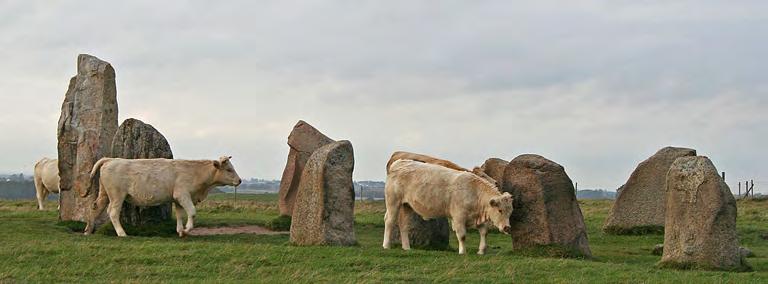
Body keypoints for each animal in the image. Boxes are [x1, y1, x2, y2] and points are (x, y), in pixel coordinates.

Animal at [83, 156, 242, 236]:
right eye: (229, 169)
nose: (240, 180)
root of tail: (110, 159)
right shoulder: (183, 194)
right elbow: (192, 212)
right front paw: (187, 229)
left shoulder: (177, 199)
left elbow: (179, 214)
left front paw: (180, 231)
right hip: (117, 196)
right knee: (113, 212)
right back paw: (122, 233)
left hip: (105, 194)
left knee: (94, 208)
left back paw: (88, 231)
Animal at [384, 160, 516, 255]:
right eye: (500, 210)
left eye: (510, 212)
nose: (507, 228)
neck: (474, 192)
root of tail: (399, 162)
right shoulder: (458, 217)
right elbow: (462, 235)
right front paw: (462, 252)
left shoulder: (478, 217)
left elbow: (484, 232)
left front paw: (481, 251)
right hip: (393, 202)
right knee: (389, 221)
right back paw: (386, 245)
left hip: (407, 206)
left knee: (403, 225)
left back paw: (406, 247)